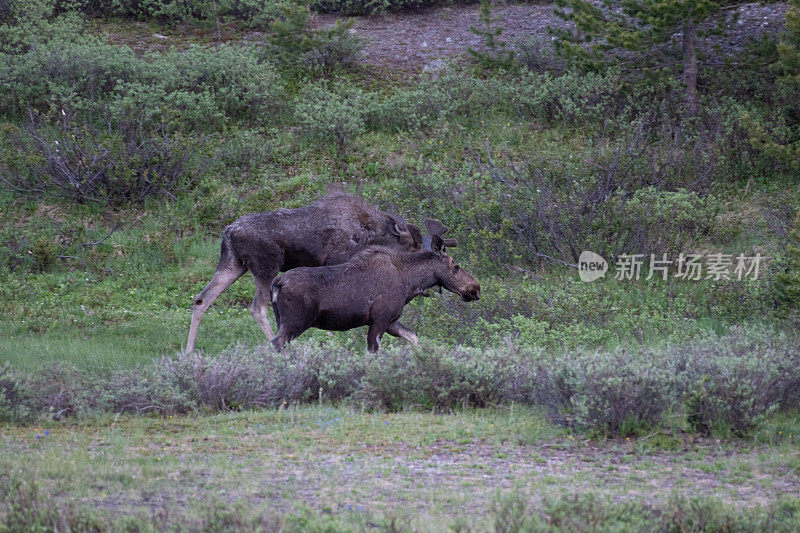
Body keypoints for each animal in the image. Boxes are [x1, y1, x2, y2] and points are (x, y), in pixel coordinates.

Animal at [184, 188, 454, 354]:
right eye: (414, 246)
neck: (371, 233)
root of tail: (228, 232)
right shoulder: (338, 258)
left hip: (232, 264)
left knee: (201, 299)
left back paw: (188, 351)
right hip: (265, 266)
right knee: (257, 308)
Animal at [268, 235, 482, 352]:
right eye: (456, 265)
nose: (476, 288)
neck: (409, 283)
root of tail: (277, 282)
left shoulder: (390, 320)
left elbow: (414, 338)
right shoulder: (380, 318)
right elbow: (374, 351)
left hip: (281, 320)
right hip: (296, 321)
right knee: (276, 343)